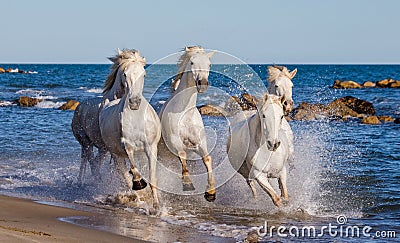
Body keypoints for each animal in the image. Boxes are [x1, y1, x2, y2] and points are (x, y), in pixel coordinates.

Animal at [72, 49, 142, 182]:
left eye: (143, 74)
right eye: (125, 74)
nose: (135, 102)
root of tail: (79, 107)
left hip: (101, 148)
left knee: (93, 163)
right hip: (87, 143)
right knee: (92, 163)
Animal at [159, 46, 217, 202]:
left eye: (209, 64)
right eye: (192, 62)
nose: (203, 83)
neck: (185, 113)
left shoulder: (198, 142)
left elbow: (207, 158)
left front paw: (211, 191)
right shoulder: (174, 141)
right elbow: (182, 154)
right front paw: (187, 184)